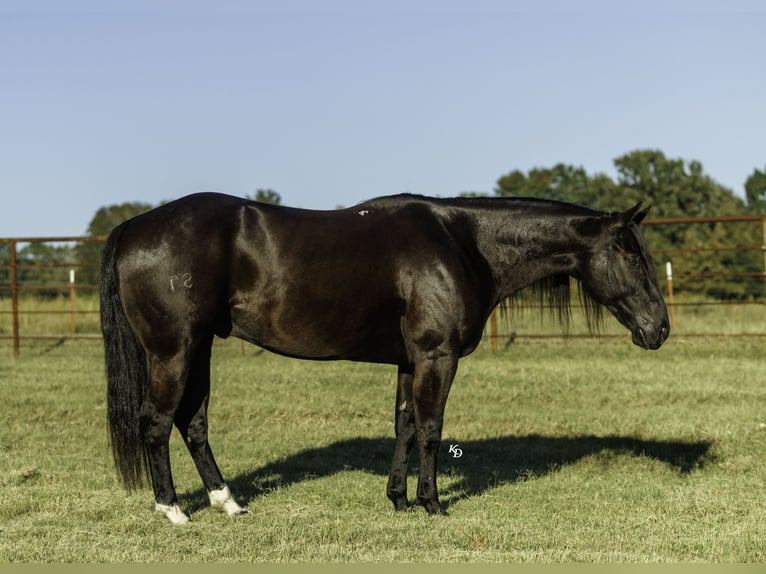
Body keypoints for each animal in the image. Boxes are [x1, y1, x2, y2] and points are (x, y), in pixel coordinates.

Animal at [100, 192, 669, 524]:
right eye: (631, 254)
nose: (660, 329)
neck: (463, 242)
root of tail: (133, 227)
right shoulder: (437, 356)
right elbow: (433, 428)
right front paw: (432, 503)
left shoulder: (410, 361)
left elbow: (405, 426)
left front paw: (397, 498)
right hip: (173, 352)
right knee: (157, 423)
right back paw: (173, 510)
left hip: (200, 349)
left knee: (192, 423)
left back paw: (227, 502)